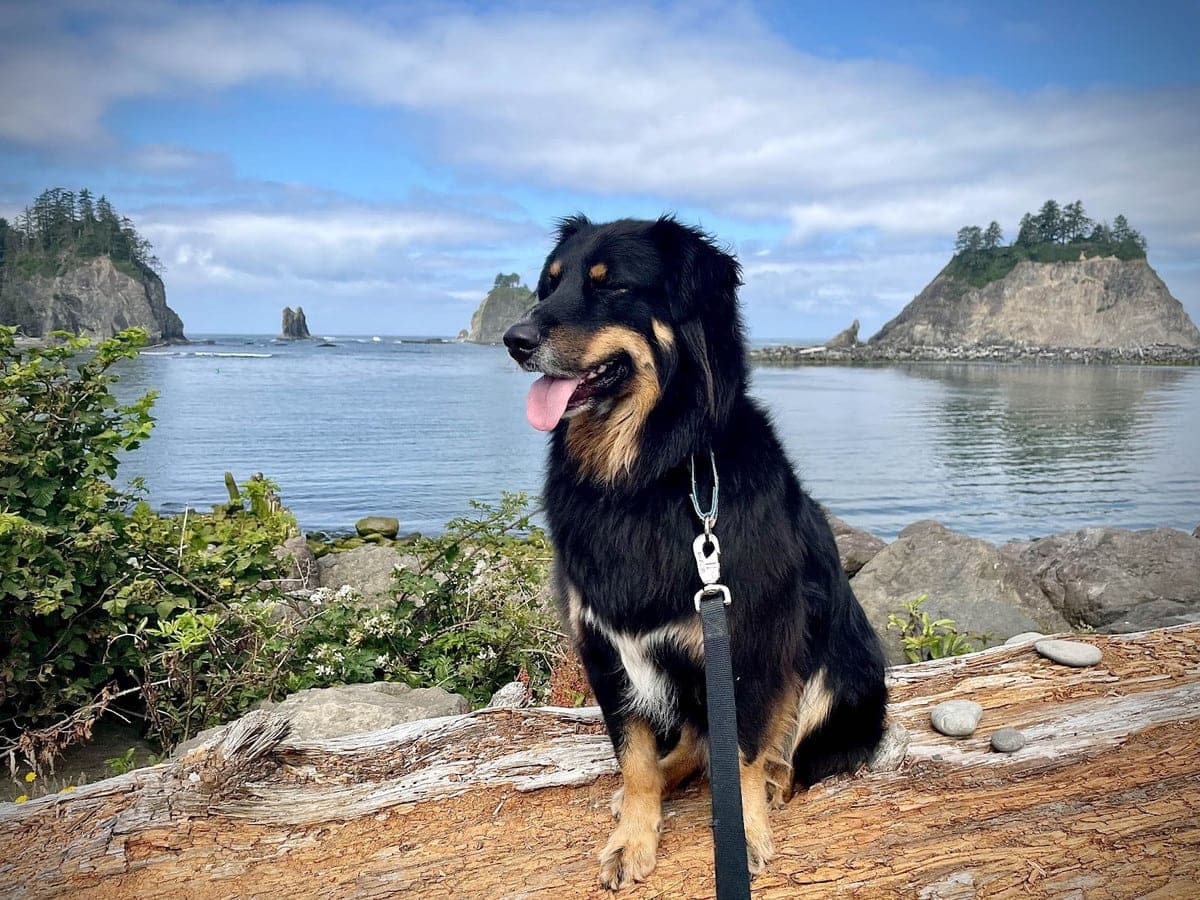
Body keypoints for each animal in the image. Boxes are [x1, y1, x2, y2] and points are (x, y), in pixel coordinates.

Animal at [501, 217, 888, 888]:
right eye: (548, 285)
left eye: (613, 286)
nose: (513, 339)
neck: (646, 476)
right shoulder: (606, 646)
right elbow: (633, 756)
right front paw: (634, 834)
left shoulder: (750, 639)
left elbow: (746, 749)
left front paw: (746, 828)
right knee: (691, 743)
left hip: (841, 667)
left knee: (785, 744)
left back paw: (777, 780)